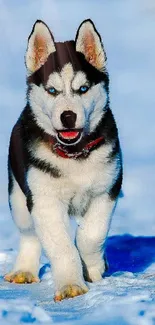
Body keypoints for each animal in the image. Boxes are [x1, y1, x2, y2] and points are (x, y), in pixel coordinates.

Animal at [5, 19, 122, 300]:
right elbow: (60, 245)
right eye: (52, 90)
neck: (74, 155)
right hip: (18, 197)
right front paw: (71, 285)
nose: (68, 116)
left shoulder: (107, 189)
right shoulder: (44, 199)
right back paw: (24, 270)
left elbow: (92, 235)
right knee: (29, 234)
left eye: (83, 89)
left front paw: (93, 266)